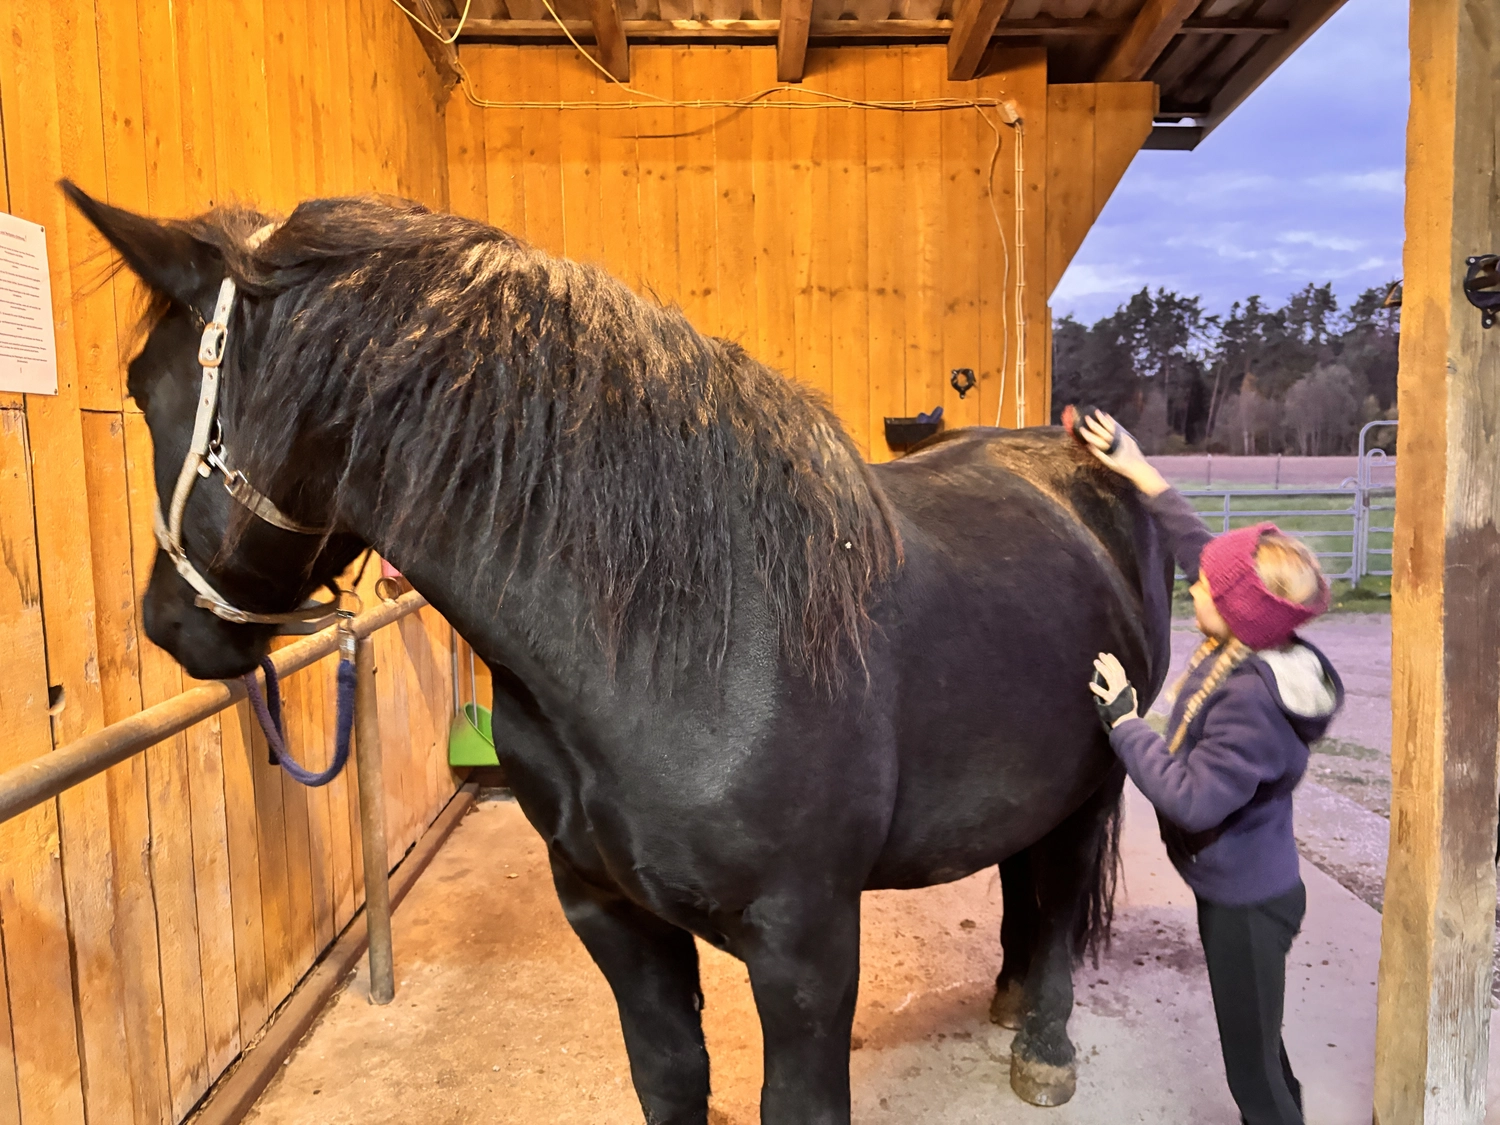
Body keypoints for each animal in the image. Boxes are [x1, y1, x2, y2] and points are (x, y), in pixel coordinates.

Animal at [66, 183, 1172, 1124]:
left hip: (1097, 782)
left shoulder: (806, 946)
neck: (675, 643)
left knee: (1065, 887)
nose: (168, 625)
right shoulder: (608, 913)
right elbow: (670, 1076)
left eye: (144, 387)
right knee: (1024, 871)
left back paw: (1044, 1043)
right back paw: (1008, 994)